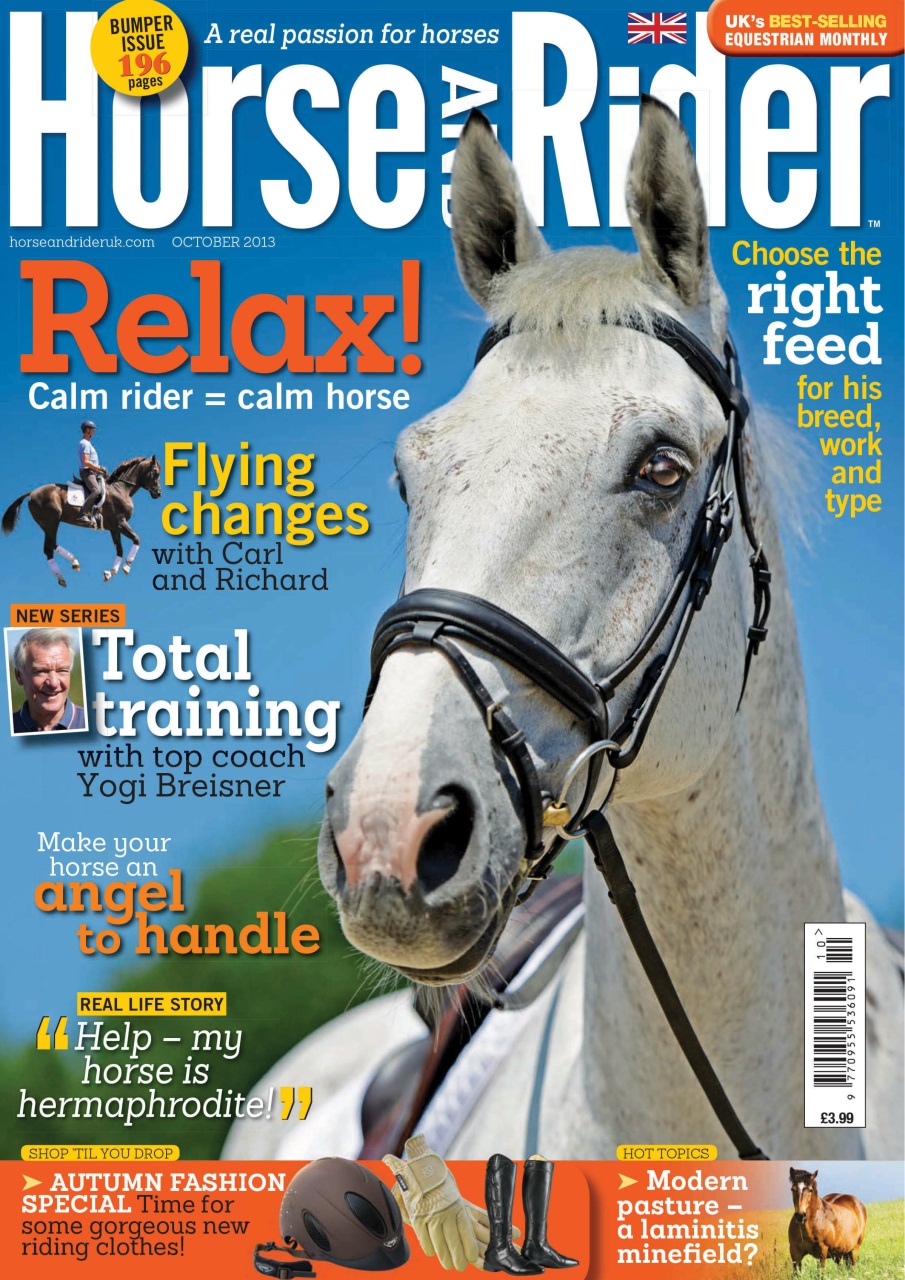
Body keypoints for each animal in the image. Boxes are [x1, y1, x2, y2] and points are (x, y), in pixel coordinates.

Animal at [2, 455, 161, 586]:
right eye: (156, 472)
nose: (158, 493)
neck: (121, 489)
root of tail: (32, 493)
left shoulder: (114, 527)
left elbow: (119, 550)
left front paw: (110, 573)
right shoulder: (120, 522)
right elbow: (137, 539)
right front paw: (127, 566)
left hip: (48, 524)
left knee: (51, 546)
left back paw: (70, 566)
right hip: (51, 521)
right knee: (49, 547)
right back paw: (66, 571)